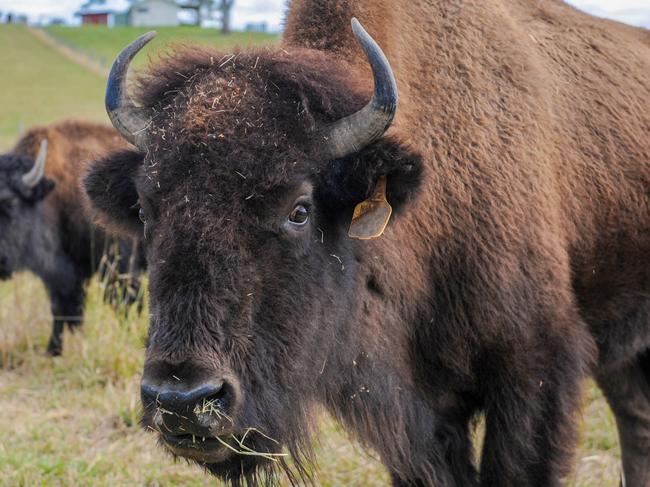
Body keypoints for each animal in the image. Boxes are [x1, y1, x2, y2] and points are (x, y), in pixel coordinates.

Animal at [0, 120, 144, 356]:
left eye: (10, 201)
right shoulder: (62, 275)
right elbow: (63, 308)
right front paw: (55, 350)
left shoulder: (119, 267)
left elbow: (123, 302)